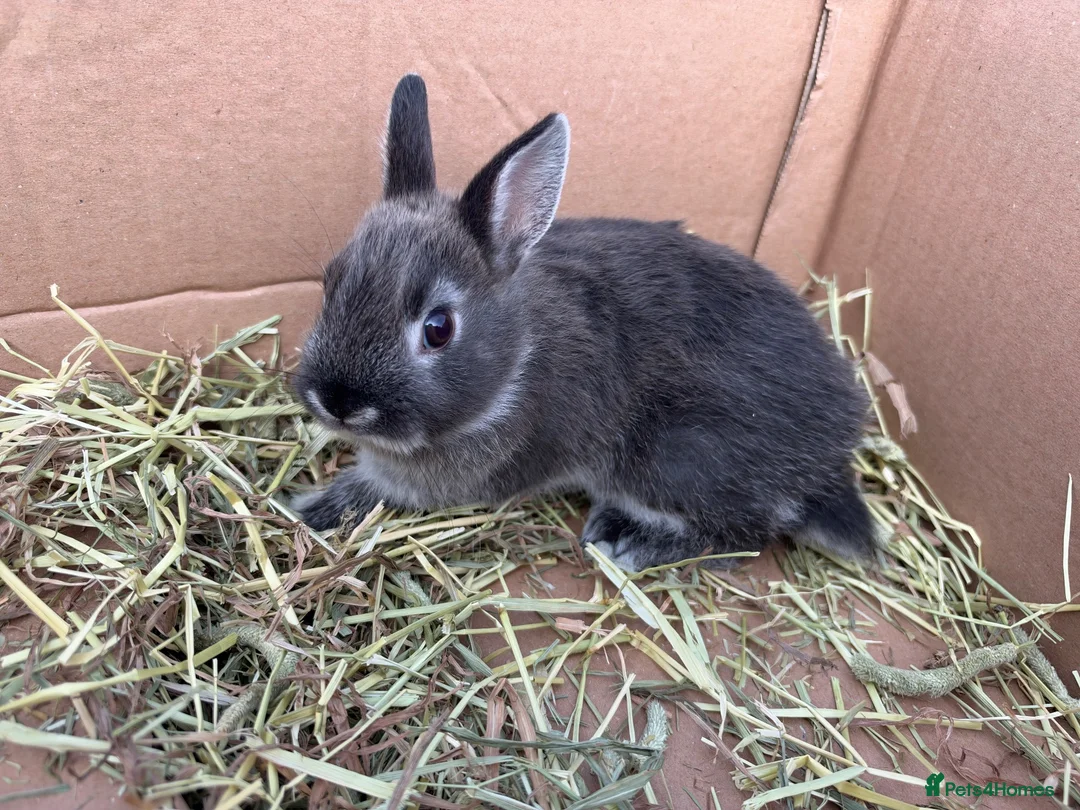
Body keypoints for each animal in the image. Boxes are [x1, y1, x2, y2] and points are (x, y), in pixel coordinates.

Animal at [290, 73, 877, 571]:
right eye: (331, 281)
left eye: (438, 328)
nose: (337, 401)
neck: (516, 362)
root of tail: (833, 458)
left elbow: (372, 489)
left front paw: (307, 508)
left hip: (677, 461)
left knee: (743, 538)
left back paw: (630, 541)